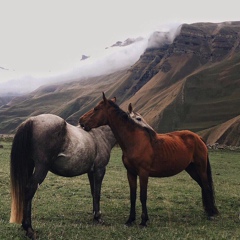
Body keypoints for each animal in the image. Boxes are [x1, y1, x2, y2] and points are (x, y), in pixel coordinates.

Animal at [79, 93, 219, 226]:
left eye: (96, 109)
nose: (81, 121)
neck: (135, 141)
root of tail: (198, 138)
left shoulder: (143, 173)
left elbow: (143, 196)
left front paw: (143, 221)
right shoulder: (131, 173)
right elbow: (133, 196)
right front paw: (130, 220)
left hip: (200, 168)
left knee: (206, 187)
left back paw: (211, 214)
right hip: (192, 169)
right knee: (202, 186)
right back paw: (209, 210)